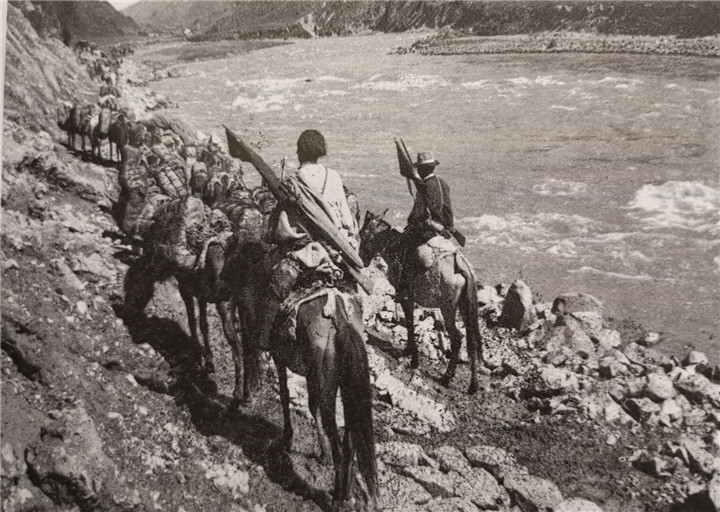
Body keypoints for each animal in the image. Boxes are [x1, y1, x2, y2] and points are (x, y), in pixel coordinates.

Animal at [225, 238, 378, 509]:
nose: (223, 278)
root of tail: (342, 321)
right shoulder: (310, 373)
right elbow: (310, 404)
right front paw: (321, 452)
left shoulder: (279, 357)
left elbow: (286, 394)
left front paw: (287, 438)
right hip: (343, 387)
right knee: (349, 442)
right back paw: (347, 493)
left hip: (328, 388)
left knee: (341, 447)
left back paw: (336, 499)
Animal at [359, 210, 483, 394]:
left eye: (362, 234)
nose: (362, 259)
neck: (396, 247)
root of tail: (461, 266)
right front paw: (410, 351)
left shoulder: (406, 297)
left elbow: (410, 323)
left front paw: (413, 357)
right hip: (464, 307)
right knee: (471, 341)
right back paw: (473, 385)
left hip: (447, 308)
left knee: (456, 339)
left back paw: (447, 377)